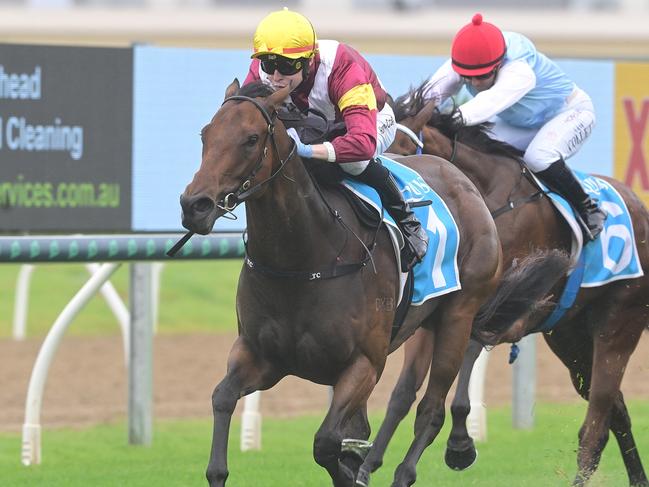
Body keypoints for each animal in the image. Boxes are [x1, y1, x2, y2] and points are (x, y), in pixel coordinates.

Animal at [176, 80, 560, 487]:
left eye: (251, 139)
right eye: (206, 134)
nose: (195, 205)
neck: (304, 258)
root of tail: (460, 177)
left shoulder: (364, 363)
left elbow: (327, 441)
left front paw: (352, 470)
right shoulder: (261, 356)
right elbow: (222, 399)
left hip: (459, 315)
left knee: (432, 408)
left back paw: (434, 459)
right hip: (426, 322)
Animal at [364, 84, 648, 487]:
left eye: (402, 149)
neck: (488, 199)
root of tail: (639, 206)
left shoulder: (505, 309)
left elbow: (469, 354)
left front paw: (461, 442)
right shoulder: (439, 303)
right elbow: (404, 390)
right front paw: (371, 458)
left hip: (619, 324)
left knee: (595, 425)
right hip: (571, 338)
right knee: (615, 411)